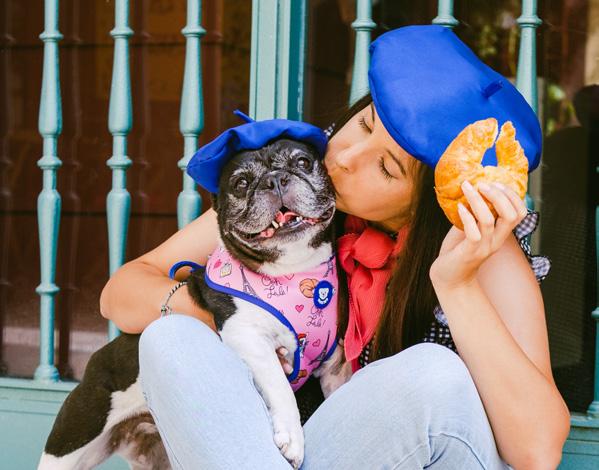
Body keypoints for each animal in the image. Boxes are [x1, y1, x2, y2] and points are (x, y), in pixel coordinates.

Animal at [38, 137, 352, 469]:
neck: (292, 270)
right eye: (241, 183)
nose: (275, 179)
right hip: (71, 442)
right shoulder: (249, 337)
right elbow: (280, 386)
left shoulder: (335, 364)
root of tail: (94, 362)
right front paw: (292, 437)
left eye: (303, 162)